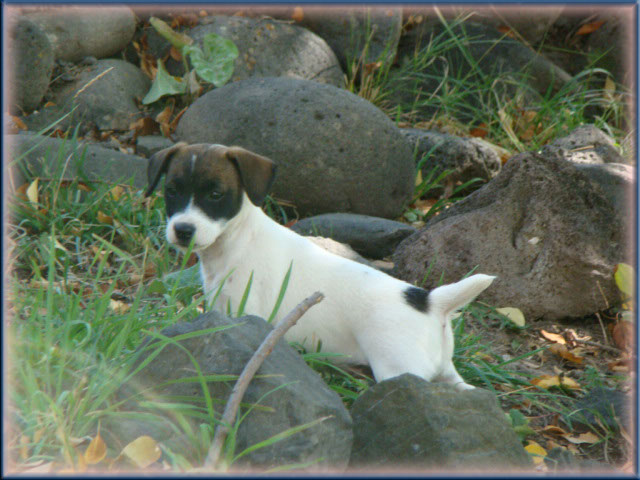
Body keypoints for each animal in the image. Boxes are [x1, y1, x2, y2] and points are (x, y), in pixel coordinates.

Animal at [148, 142, 498, 390]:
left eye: (216, 194)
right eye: (171, 191)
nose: (183, 230)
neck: (238, 238)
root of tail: (429, 301)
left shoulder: (246, 313)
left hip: (400, 369)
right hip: (446, 373)